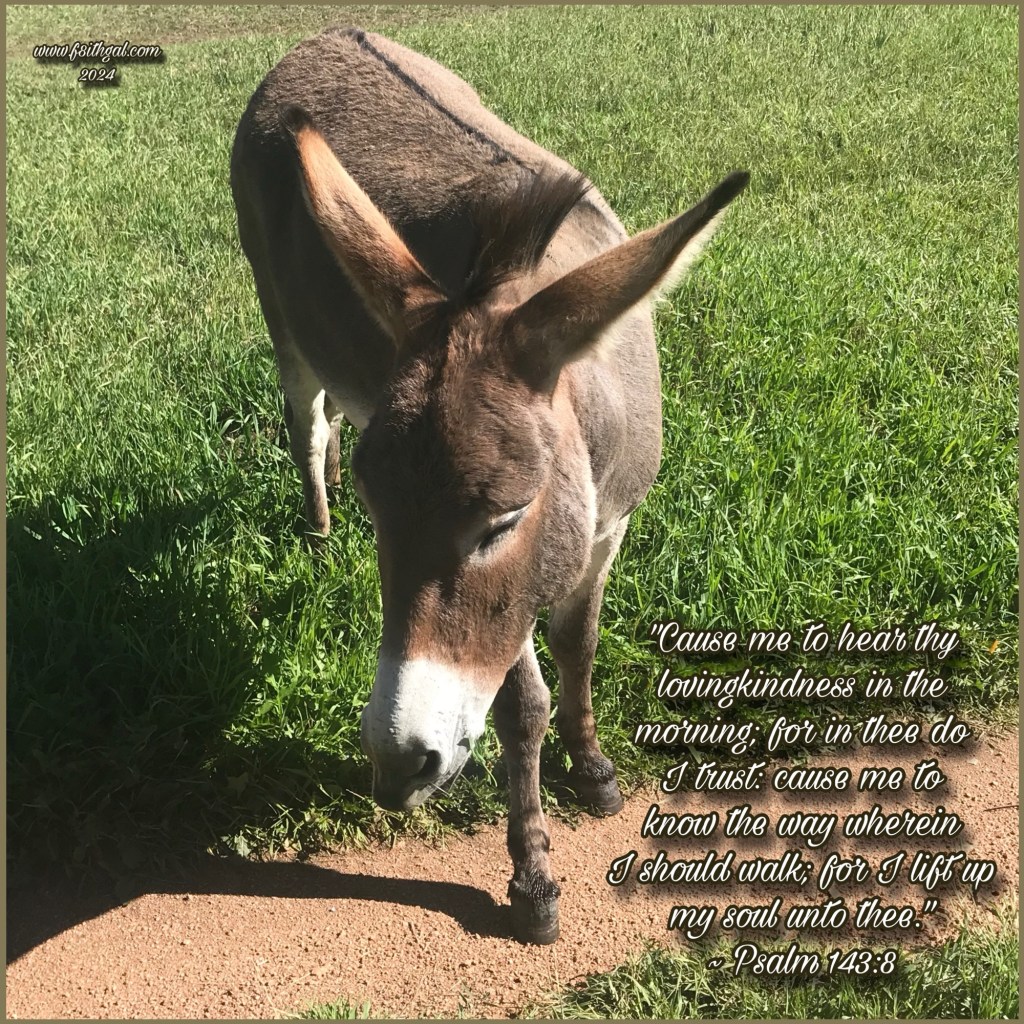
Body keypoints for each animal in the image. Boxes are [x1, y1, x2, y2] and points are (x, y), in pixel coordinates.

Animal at [230, 25, 747, 944]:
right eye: (382, 518)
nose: (395, 764)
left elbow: (580, 642)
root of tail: (319, 39)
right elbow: (520, 706)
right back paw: (318, 528)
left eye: (503, 520)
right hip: (281, 318)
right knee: (309, 422)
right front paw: (532, 873)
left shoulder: (604, 527)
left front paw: (594, 767)